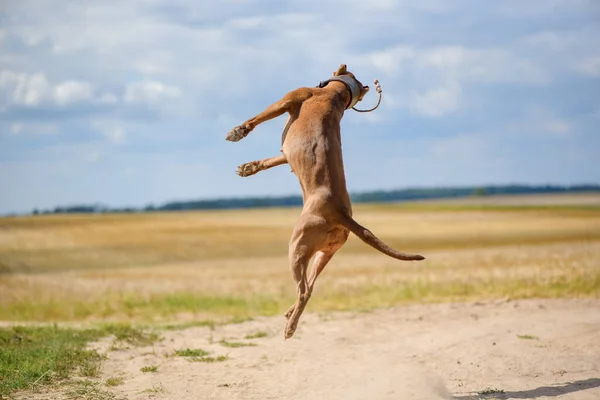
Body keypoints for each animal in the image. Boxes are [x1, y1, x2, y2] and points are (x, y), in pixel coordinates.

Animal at [226, 64, 426, 340]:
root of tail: (343, 215)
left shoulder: (288, 100)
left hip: (297, 245)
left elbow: (257, 118)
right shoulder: (286, 154)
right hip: (325, 253)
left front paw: (239, 131)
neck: (336, 93)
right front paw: (249, 167)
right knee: (310, 286)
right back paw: (291, 314)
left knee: (303, 289)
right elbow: (270, 160)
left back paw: (290, 327)